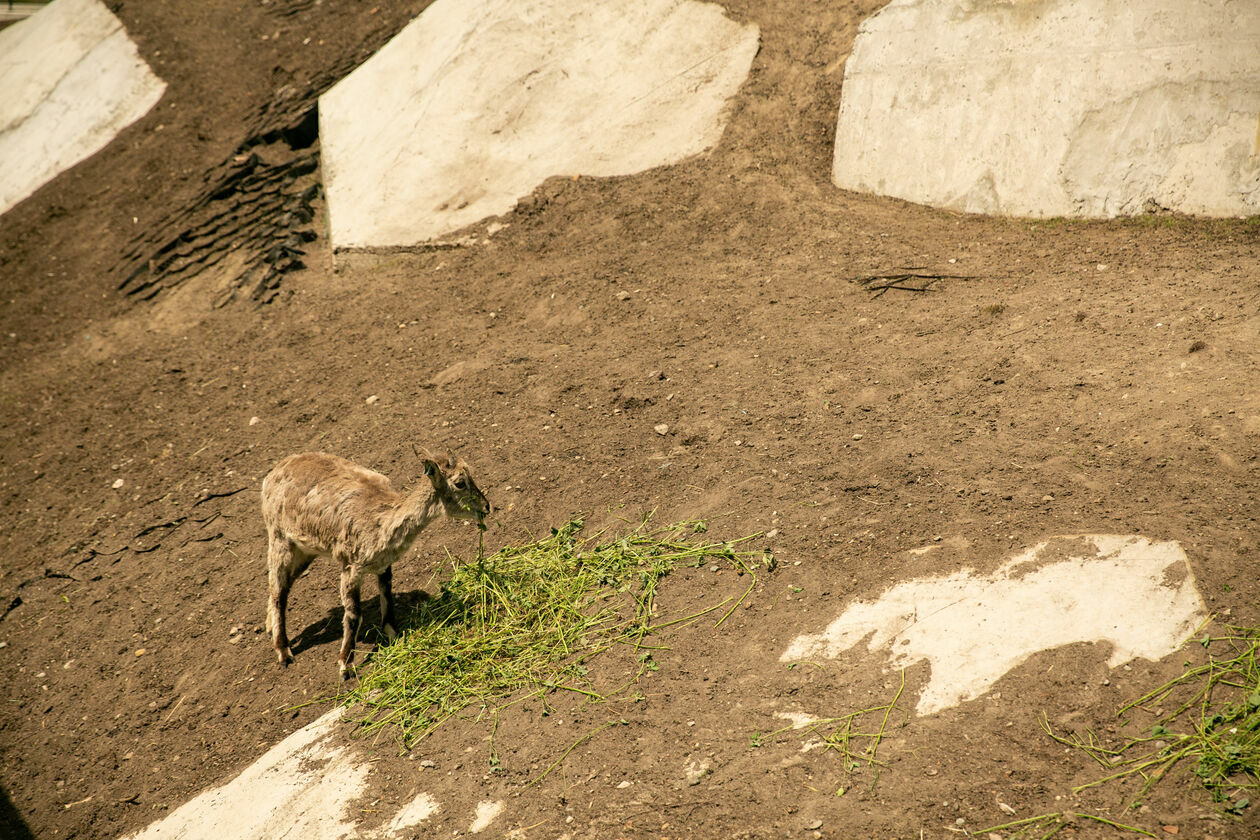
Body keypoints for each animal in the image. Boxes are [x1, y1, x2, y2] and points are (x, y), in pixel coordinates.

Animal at [260, 450, 486, 680]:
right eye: (460, 483)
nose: (487, 506)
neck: (382, 521)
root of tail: (273, 473)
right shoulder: (350, 566)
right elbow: (353, 616)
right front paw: (345, 666)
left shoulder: (383, 565)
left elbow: (386, 597)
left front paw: (394, 636)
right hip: (279, 538)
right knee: (278, 590)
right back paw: (283, 651)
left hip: (306, 551)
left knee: (283, 586)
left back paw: (269, 627)